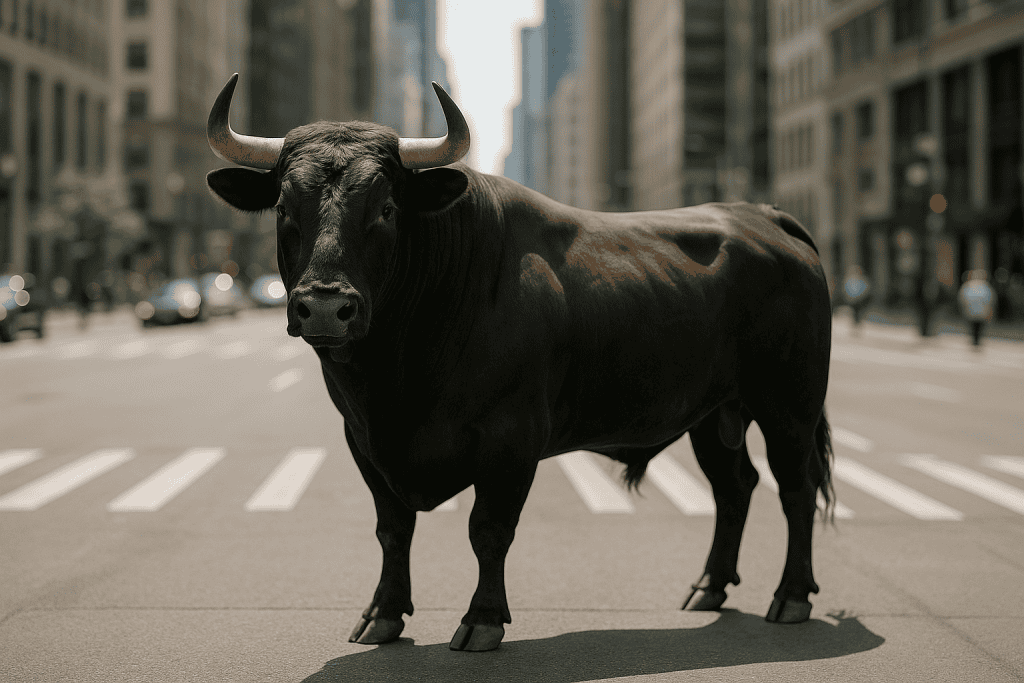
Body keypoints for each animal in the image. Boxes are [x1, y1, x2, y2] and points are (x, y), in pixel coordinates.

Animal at [207, 73, 835, 652]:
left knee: (796, 489)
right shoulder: (363, 440)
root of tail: (764, 217)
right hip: (713, 413)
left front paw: (482, 619)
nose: (325, 305)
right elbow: (393, 528)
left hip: (790, 407)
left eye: (385, 207)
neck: (395, 376)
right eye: (284, 207)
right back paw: (709, 587)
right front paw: (382, 613)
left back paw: (791, 596)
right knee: (735, 488)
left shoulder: (511, 439)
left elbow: (488, 530)